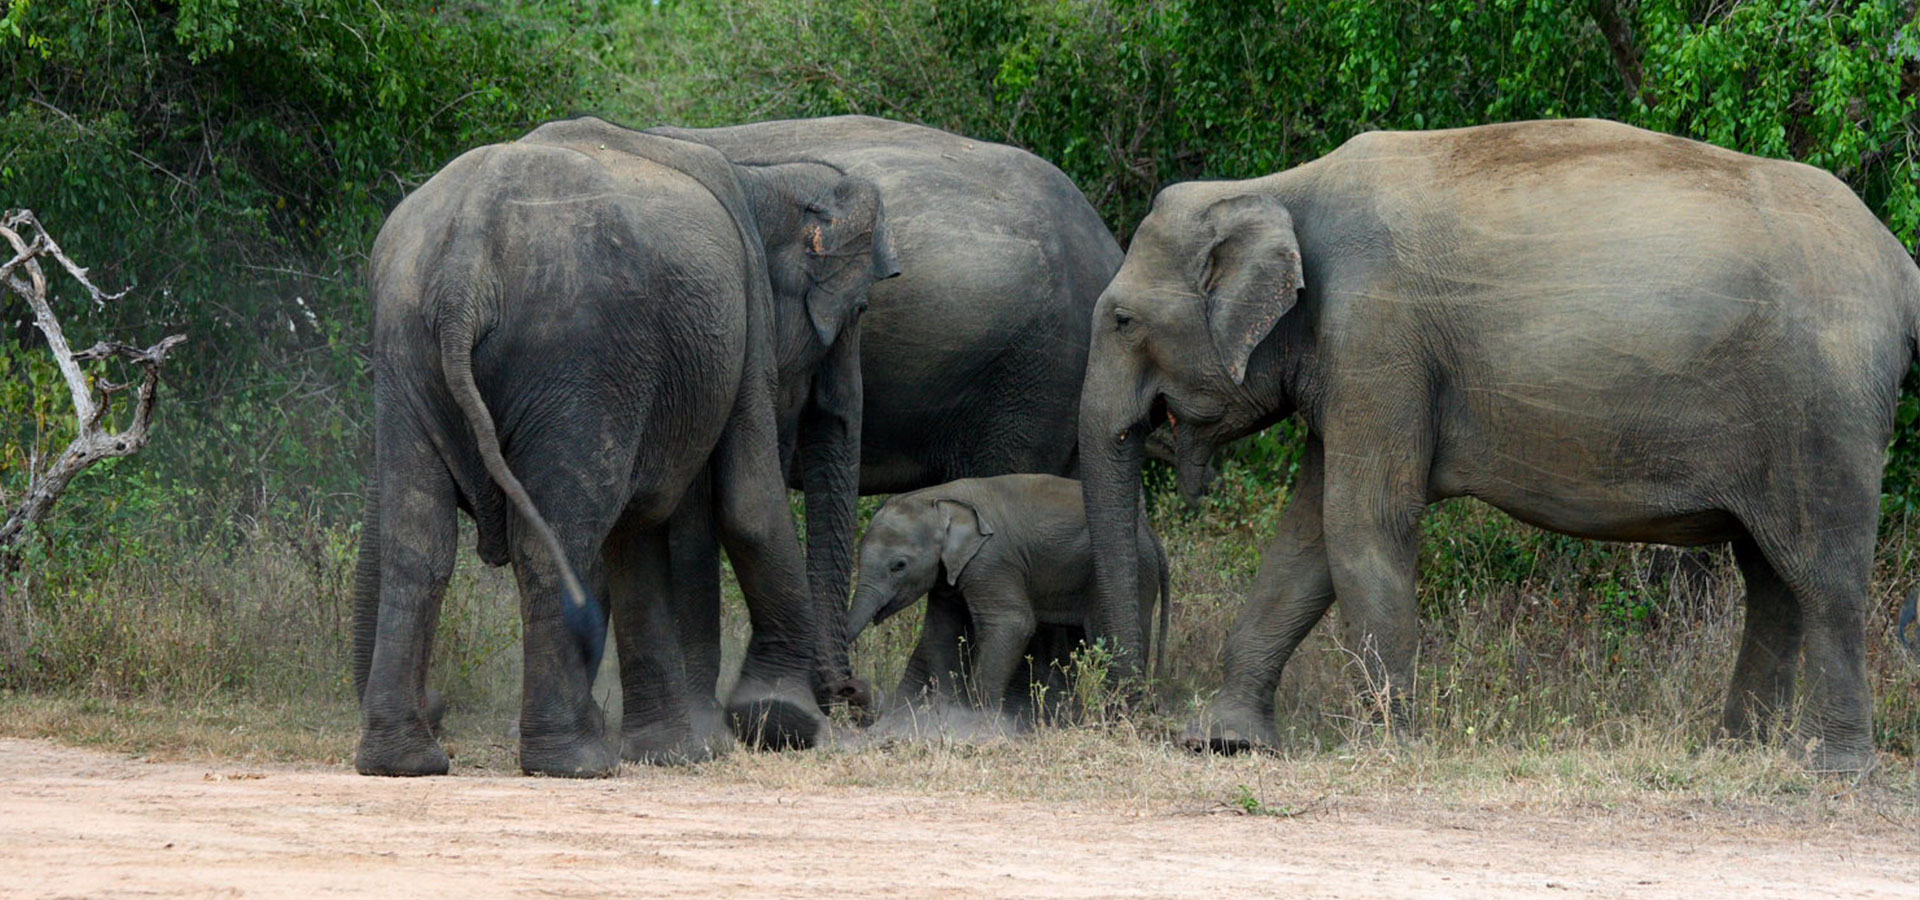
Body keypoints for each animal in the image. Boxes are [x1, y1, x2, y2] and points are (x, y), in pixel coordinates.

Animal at [351, 116, 897, 776]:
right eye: (861, 308)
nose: (853, 695)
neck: (765, 178)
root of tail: (465, 266)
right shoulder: (745, 323)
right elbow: (747, 506)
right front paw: (780, 721)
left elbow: (642, 534)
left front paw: (679, 752)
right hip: (576, 354)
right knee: (555, 540)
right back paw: (575, 761)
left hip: (410, 347)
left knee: (419, 544)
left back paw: (405, 761)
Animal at [846, 474, 1169, 718]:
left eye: (899, 565)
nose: (852, 685)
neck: (936, 497)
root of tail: (1149, 531)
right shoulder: (949, 574)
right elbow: (941, 631)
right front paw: (945, 715)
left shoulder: (991, 560)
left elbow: (1013, 622)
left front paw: (978, 720)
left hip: (1136, 570)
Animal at [1077, 118, 1920, 774]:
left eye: (1122, 320)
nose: (1131, 710)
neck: (1281, 185)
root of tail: (1901, 265)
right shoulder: (1354, 364)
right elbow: (1307, 536)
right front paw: (1223, 744)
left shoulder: (1377, 336)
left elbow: (1363, 521)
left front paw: (1386, 749)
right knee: (1771, 577)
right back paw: (1736, 754)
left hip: (1824, 408)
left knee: (1822, 573)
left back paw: (1834, 770)